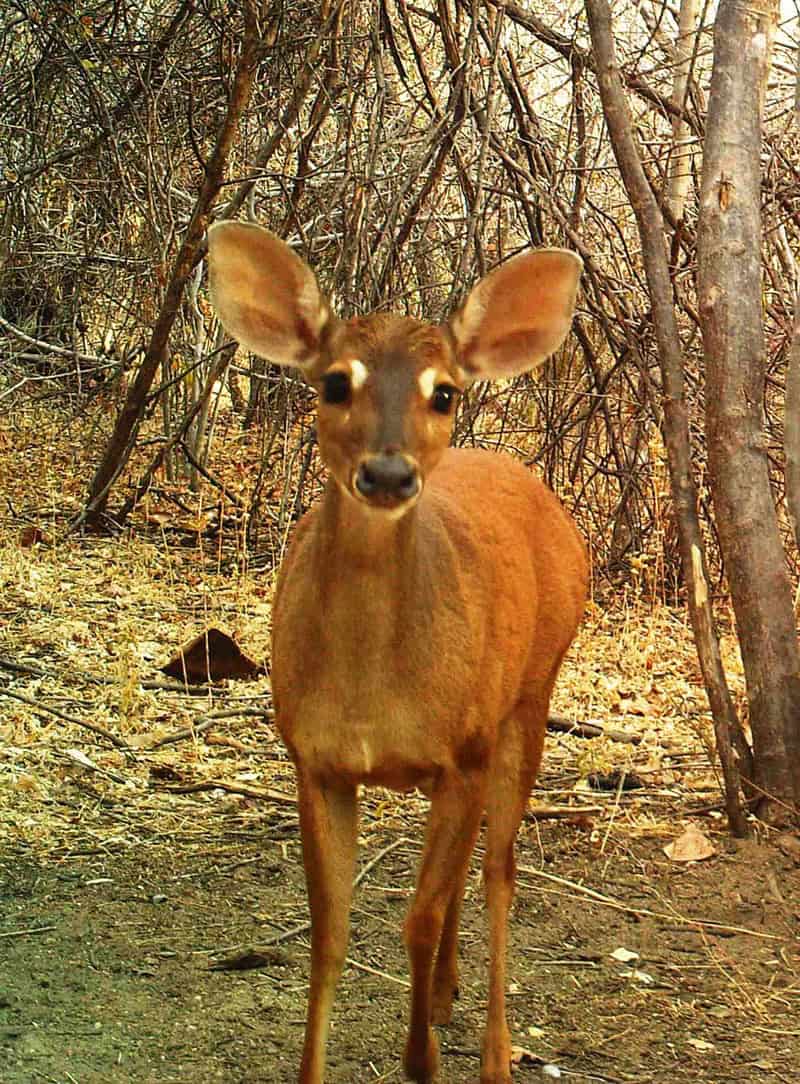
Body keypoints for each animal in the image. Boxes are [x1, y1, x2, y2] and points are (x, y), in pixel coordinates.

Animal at [209, 222, 589, 1084]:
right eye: (333, 382)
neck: (372, 698)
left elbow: (417, 914)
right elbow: (330, 932)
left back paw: (495, 1051)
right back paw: (448, 995)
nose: (386, 472)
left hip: (529, 700)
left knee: (500, 871)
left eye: (442, 391)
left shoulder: (464, 751)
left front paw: (424, 1060)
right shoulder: (314, 760)